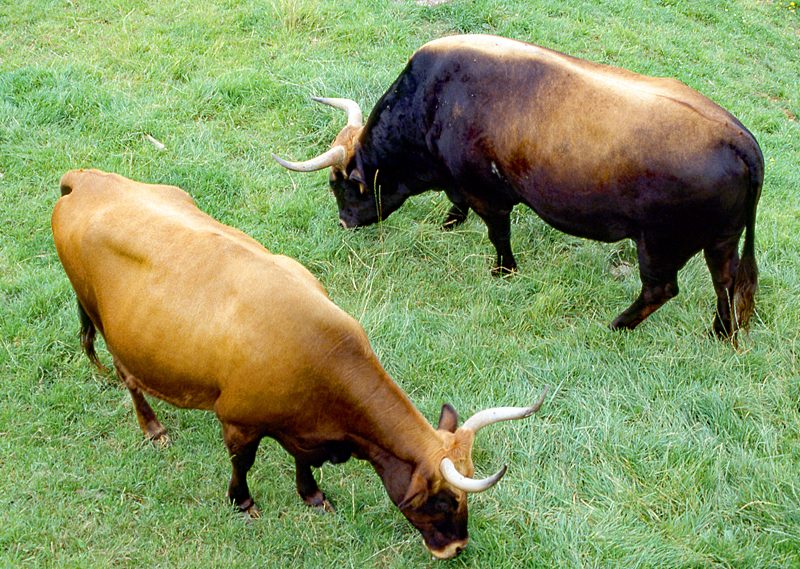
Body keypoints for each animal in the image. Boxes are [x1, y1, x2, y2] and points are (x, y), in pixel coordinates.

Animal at [52, 169, 547, 560]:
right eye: (445, 501)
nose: (457, 548)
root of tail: (87, 180)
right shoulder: (238, 421)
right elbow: (243, 463)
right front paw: (242, 502)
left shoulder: (303, 428)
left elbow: (302, 461)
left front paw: (312, 495)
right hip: (100, 318)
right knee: (128, 377)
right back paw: (153, 428)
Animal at [273, 34, 763, 339]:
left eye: (342, 185)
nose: (343, 223)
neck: (434, 101)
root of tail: (737, 137)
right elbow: (456, 204)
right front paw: (450, 223)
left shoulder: (488, 194)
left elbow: (498, 234)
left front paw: (504, 271)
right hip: (721, 239)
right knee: (725, 281)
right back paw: (720, 331)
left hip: (659, 243)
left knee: (661, 290)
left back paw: (618, 325)